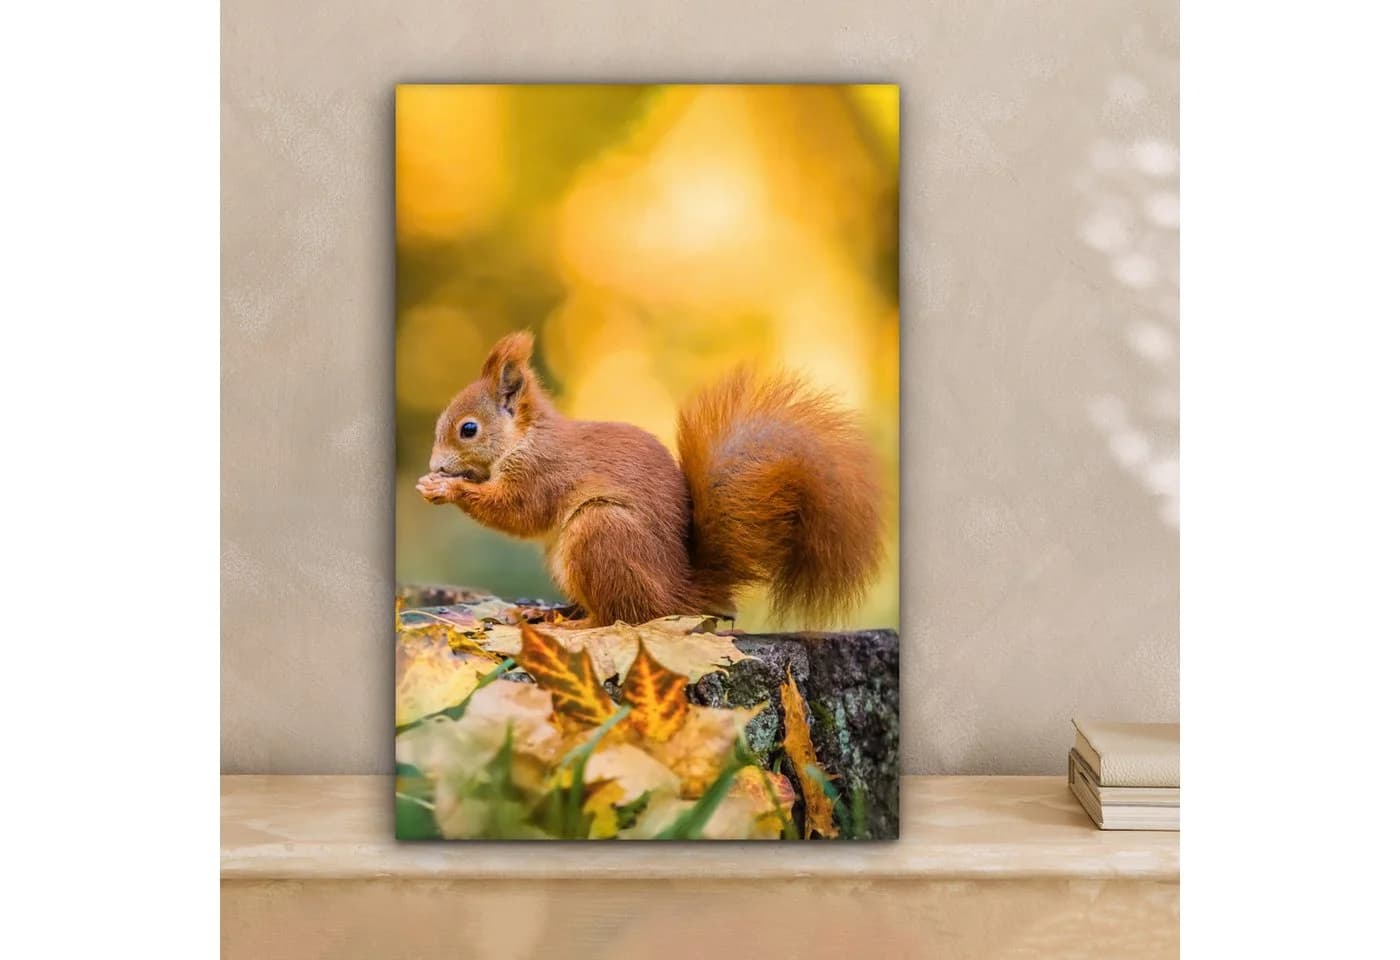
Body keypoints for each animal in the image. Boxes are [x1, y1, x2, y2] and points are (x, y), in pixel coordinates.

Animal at [416, 330, 884, 627]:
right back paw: (547, 613)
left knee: (620, 618)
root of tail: (679, 596)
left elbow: (517, 512)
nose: (435, 466)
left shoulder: (542, 472)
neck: (525, 437)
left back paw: (571, 626)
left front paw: (447, 488)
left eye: (468, 429)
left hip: (600, 533)